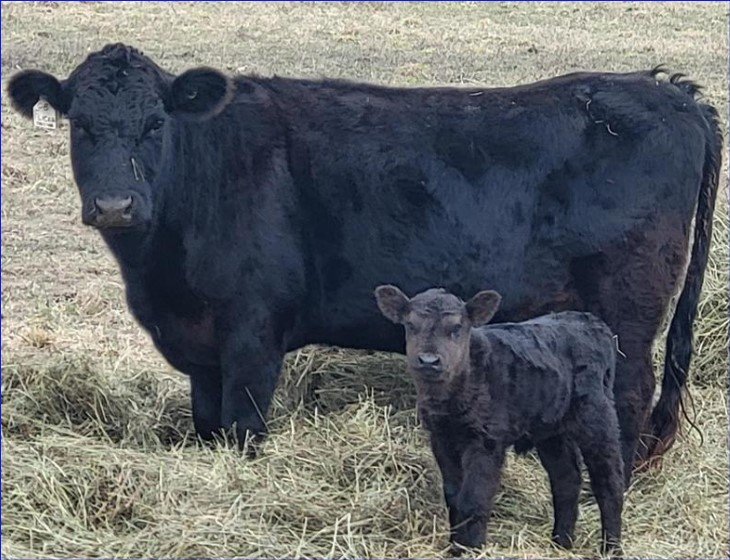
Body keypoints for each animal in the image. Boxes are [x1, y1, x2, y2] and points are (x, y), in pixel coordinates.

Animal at [7, 44, 721, 479]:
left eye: (156, 123)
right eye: (79, 124)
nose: (115, 205)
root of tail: (667, 90)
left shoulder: (252, 334)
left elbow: (243, 426)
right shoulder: (202, 346)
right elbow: (208, 425)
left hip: (629, 310)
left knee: (630, 394)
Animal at [374, 285, 623, 555]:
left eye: (457, 328)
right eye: (410, 325)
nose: (429, 360)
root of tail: (590, 321)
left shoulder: (487, 440)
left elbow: (474, 498)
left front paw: (473, 549)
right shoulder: (440, 438)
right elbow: (453, 495)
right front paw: (455, 548)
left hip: (597, 416)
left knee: (609, 482)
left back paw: (611, 548)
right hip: (551, 429)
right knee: (567, 479)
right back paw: (561, 543)